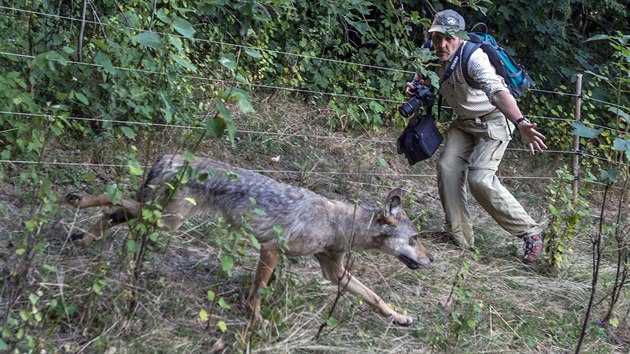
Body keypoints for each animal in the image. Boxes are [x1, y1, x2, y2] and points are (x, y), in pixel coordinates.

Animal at [68, 155, 434, 326]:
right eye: (415, 239)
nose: (432, 260)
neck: (338, 223)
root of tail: (172, 157)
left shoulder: (333, 271)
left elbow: (375, 297)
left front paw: (400, 317)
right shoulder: (271, 249)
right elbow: (256, 295)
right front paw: (256, 322)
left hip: (160, 216)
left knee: (116, 212)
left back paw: (84, 237)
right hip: (166, 220)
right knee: (115, 199)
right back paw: (77, 202)